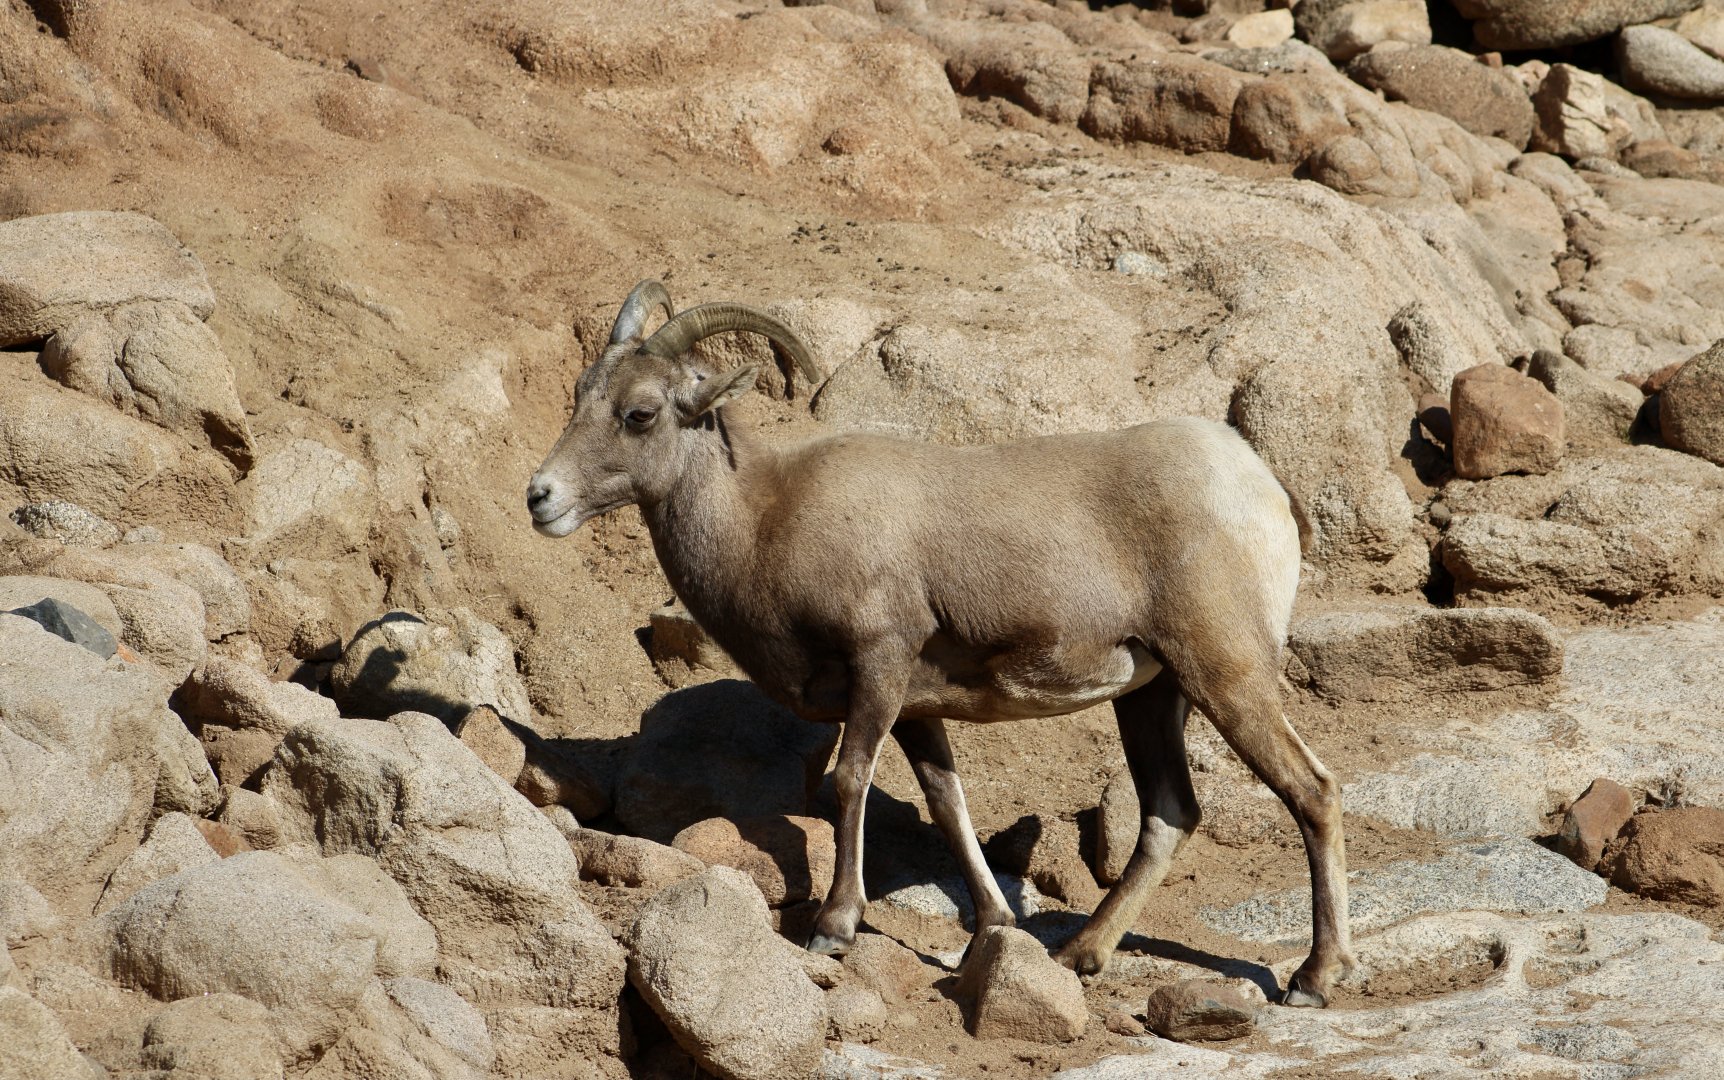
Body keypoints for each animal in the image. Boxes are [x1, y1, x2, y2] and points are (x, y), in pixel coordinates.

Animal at [527, 281, 1355, 1007]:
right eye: (580, 395)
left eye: (639, 414)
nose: (541, 498)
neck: (763, 521)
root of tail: (1261, 485)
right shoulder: (918, 708)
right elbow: (949, 804)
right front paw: (994, 927)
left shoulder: (879, 667)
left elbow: (851, 781)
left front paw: (834, 927)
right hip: (1152, 697)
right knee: (1169, 815)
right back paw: (1079, 954)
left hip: (1226, 674)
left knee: (1310, 790)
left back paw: (1313, 980)